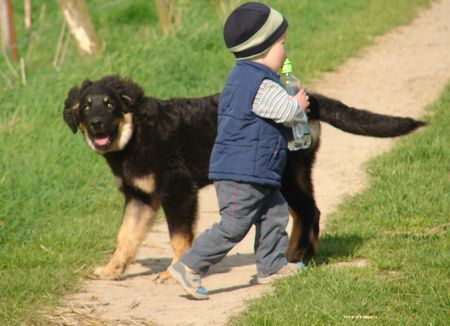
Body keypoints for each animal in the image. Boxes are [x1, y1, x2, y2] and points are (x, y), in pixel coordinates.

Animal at [63, 76, 426, 280]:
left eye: (110, 105)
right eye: (87, 106)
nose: (96, 125)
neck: (135, 134)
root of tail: (307, 99)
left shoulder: (178, 190)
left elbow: (179, 239)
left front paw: (172, 273)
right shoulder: (140, 197)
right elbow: (124, 237)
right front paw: (111, 271)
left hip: (285, 174)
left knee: (307, 210)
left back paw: (298, 256)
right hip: (297, 171)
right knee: (309, 211)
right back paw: (301, 254)